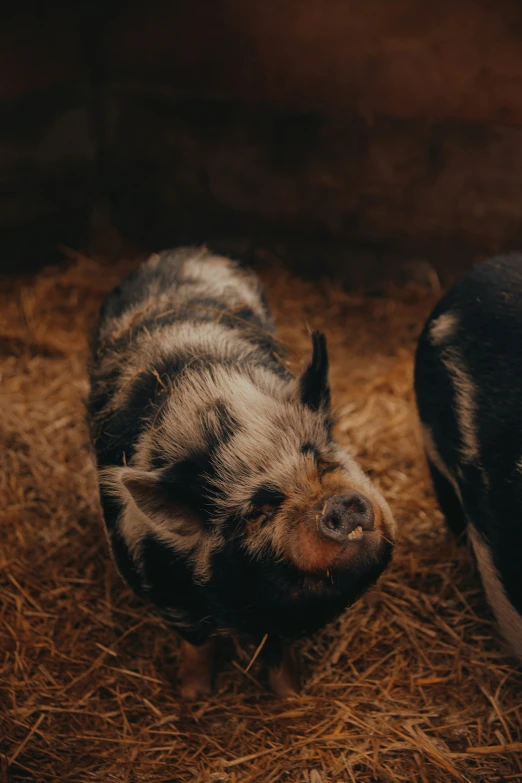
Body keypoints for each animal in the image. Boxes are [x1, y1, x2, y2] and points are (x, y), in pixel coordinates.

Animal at [87, 247, 394, 700]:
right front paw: (193, 697)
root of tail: (186, 250)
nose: (339, 505)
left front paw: (291, 697)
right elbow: (197, 645)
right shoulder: (163, 593)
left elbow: (277, 653)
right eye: (257, 512)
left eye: (322, 461)